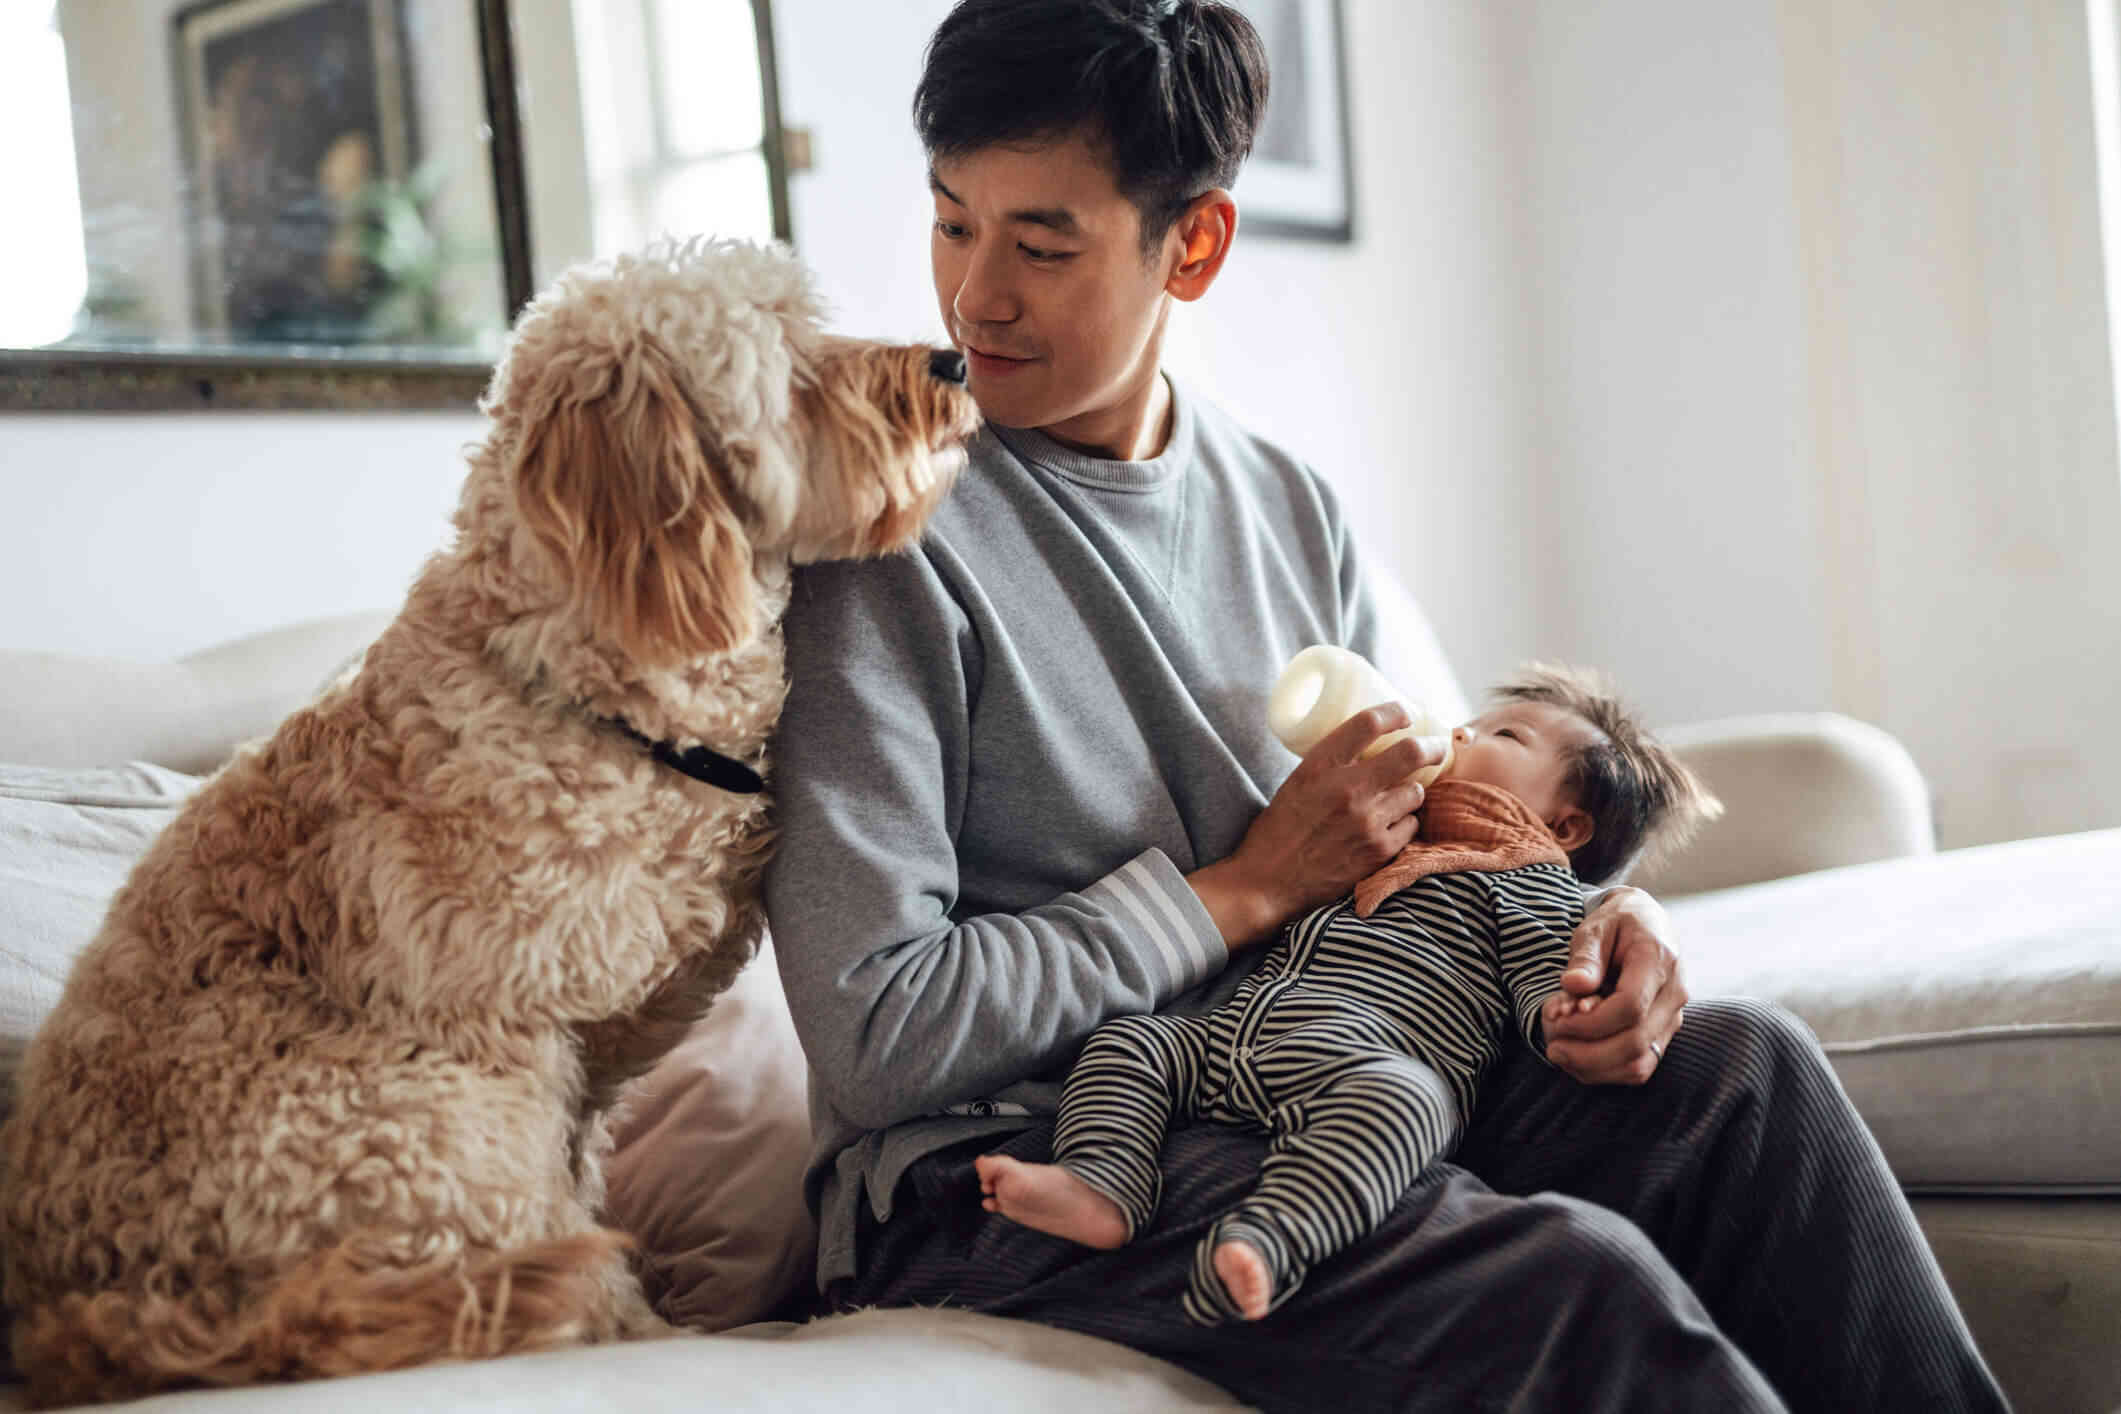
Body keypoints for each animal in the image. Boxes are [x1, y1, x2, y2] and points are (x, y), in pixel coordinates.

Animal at [0, 243, 975, 1407]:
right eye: (791, 365)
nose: (953, 361)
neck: (568, 686)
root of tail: (106, 1316)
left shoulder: (595, 1052)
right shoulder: (517, 1026)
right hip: (410, 1124)